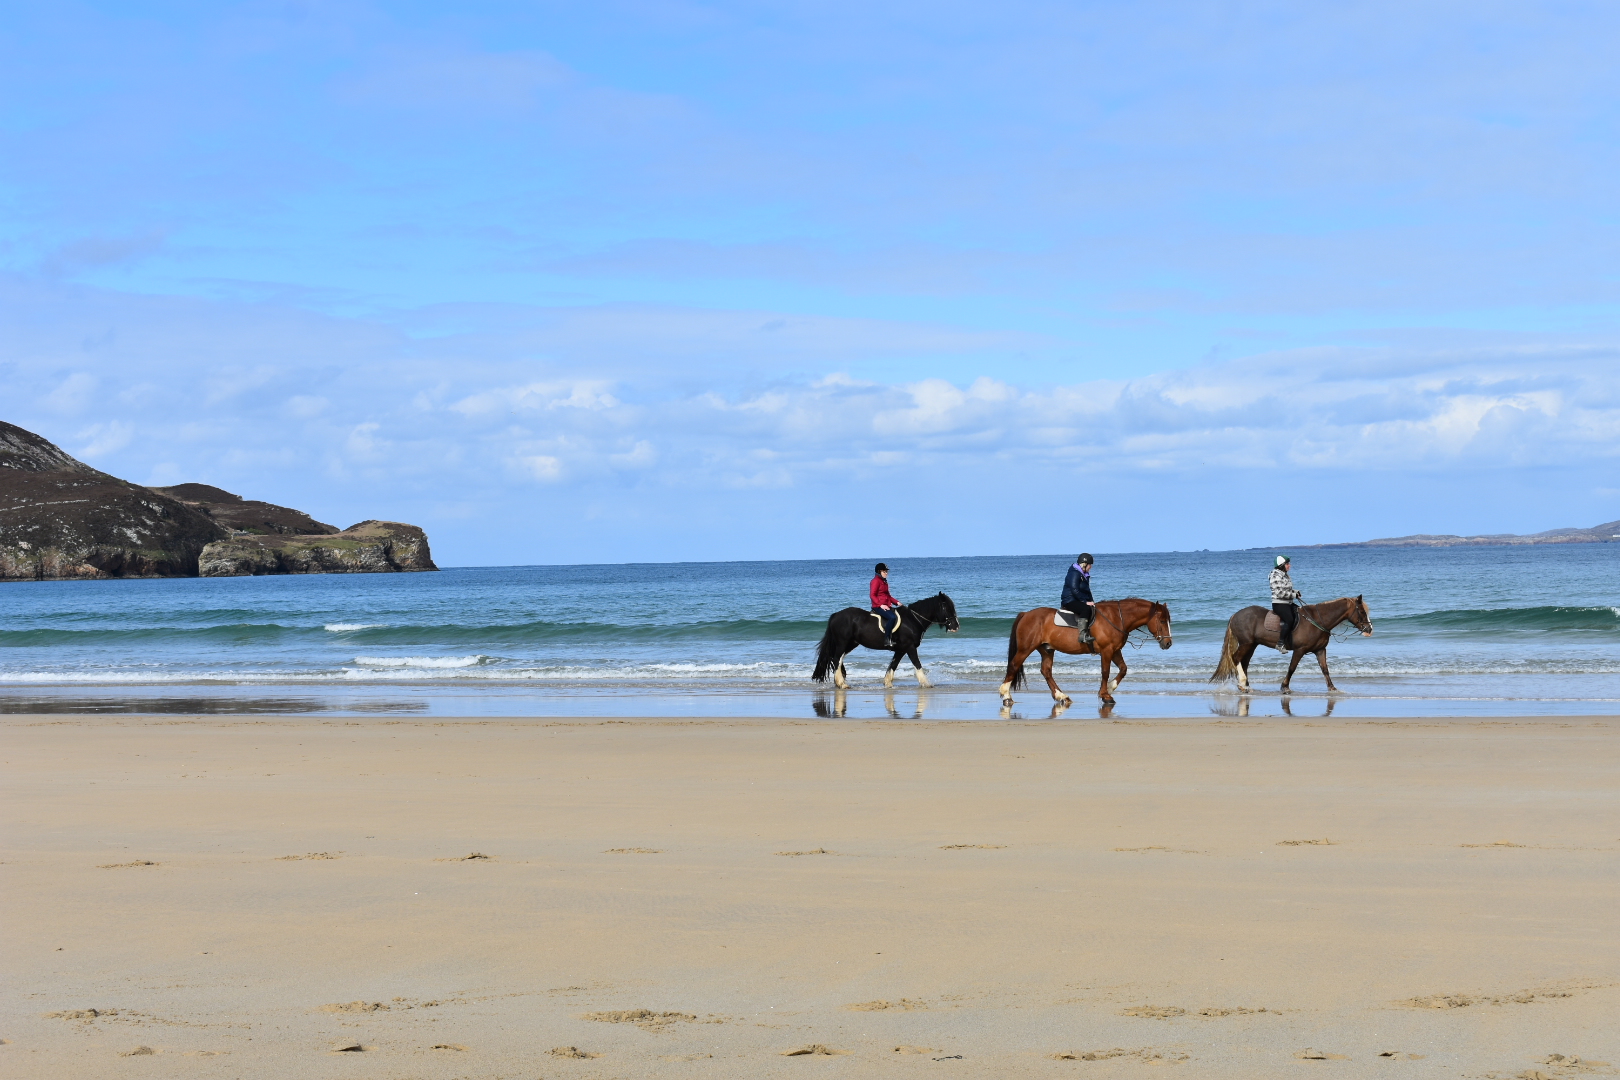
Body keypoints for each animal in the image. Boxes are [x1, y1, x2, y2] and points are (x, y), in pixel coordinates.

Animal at [812, 592, 960, 689]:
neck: (912, 620)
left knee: (837, 659)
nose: (956, 626)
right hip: (842, 643)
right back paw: (842, 684)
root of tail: (835, 615)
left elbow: (893, 665)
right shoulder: (910, 648)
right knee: (836, 659)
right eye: (946, 607)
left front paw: (887, 683)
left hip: (851, 643)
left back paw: (839, 682)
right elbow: (917, 664)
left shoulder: (901, 650)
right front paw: (926, 683)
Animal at [998, 598, 1173, 707]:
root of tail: (1026, 614)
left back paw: (1061, 696)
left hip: (1047, 650)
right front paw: (1105, 695)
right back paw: (1006, 696)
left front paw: (1110, 688)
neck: (1116, 618)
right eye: (1162, 621)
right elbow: (1105, 672)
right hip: (1025, 648)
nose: (1168, 643)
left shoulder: (1115, 650)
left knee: (1046, 671)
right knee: (1014, 665)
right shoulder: (1107, 650)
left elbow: (1123, 669)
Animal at [1210, 595, 1373, 693]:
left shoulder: (1320, 650)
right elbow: (1292, 668)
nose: (1369, 629)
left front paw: (1332, 688)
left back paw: (1246, 686)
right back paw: (1242, 684)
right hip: (1246, 644)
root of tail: (1235, 615)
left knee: (1244, 662)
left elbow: (1325, 669)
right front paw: (1285, 687)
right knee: (1236, 658)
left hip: (1251, 645)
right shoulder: (1300, 650)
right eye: (1362, 611)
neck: (1317, 620)